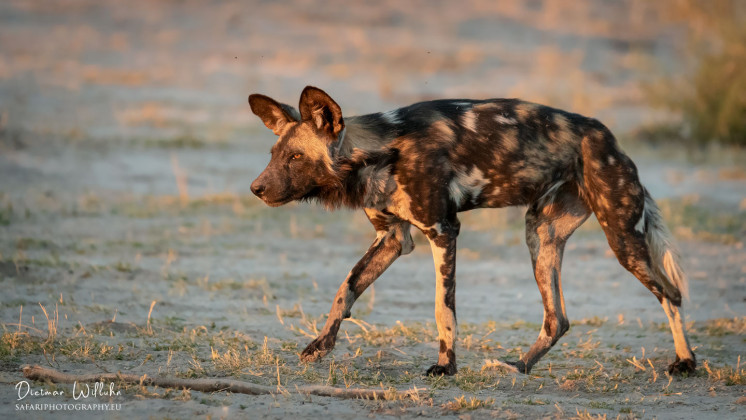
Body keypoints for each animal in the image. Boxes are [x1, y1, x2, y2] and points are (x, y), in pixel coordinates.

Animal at [247, 87, 696, 376]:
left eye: (296, 157)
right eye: (273, 154)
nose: (256, 188)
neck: (379, 152)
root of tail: (610, 140)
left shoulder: (443, 231)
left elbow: (443, 308)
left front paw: (445, 367)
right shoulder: (392, 240)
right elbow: (346, 289)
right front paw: (320, 345)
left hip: (623, 242)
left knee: (670, 294)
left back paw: (685, 362)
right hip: (540, 235)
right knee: (558, 319)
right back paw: (518, 366)